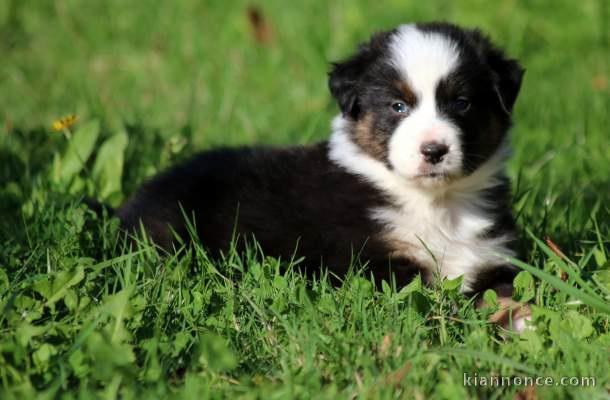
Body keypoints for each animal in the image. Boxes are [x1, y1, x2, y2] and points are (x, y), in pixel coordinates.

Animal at [120, 21, 528, 326]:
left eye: (461, 103)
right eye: (397, 106)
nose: (434, 150)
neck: (437, 204)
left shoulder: (491, 258)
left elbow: (509, 298)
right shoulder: (373, 265)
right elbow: (439, 304)